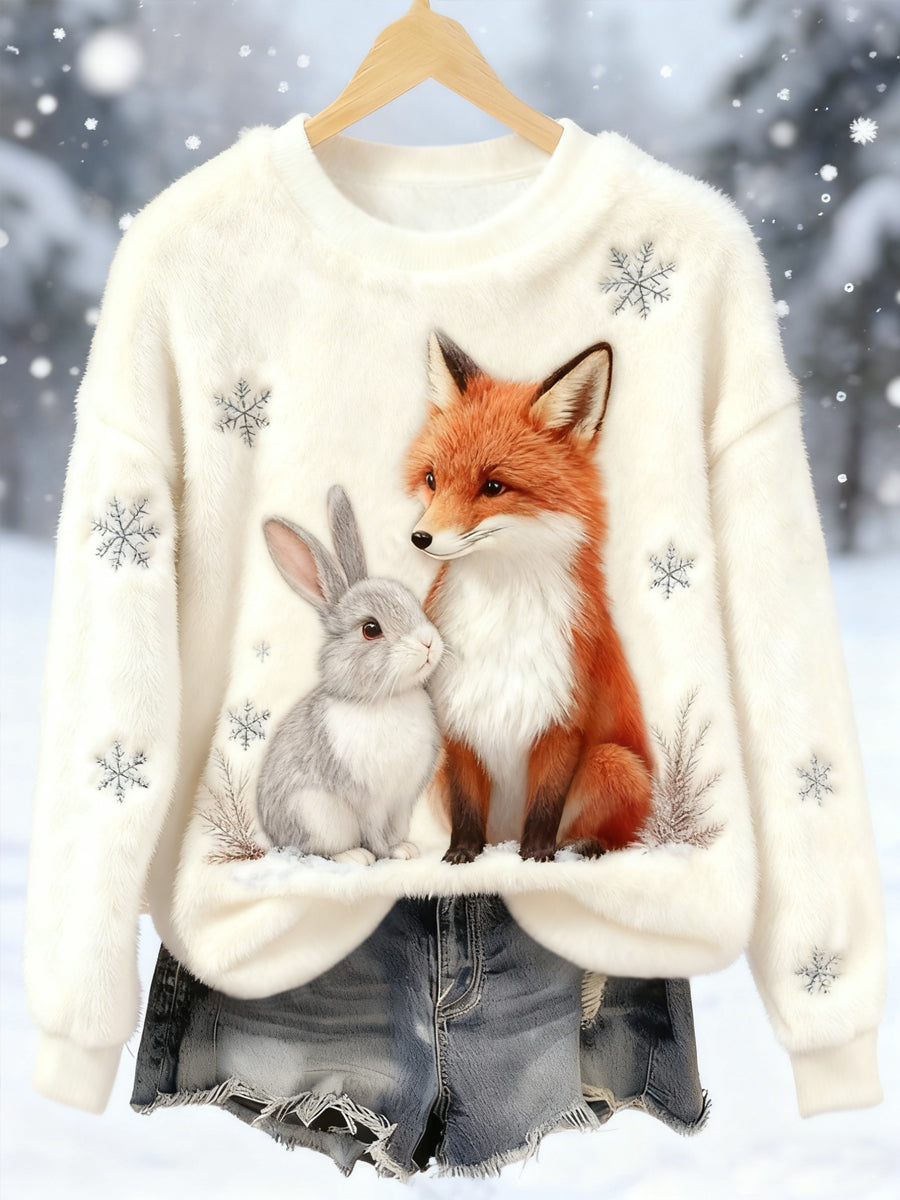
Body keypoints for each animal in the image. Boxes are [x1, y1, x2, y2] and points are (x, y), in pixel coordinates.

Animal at [256, 484, 444, 865]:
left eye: (412, 602)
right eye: (371, 629)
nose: (428, 642)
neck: (384, 700)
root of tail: (274, 838)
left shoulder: (402, 801)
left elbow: (395, 827)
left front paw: (406, 849)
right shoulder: (367, 799)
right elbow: (374, 832)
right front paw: (385, 854)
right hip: (316, 814)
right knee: (312, 850)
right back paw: (353, 857)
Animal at [404, 330, 654, 864]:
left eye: (493, 486)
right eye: (433, 480)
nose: (420, 538)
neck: (502, 617)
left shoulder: (563, 717)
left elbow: (544, 806)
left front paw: (536, 858)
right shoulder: (459, 717)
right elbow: (466, 805)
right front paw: (462, 856)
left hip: (612, 761)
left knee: (618, 835)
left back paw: (585, 847)